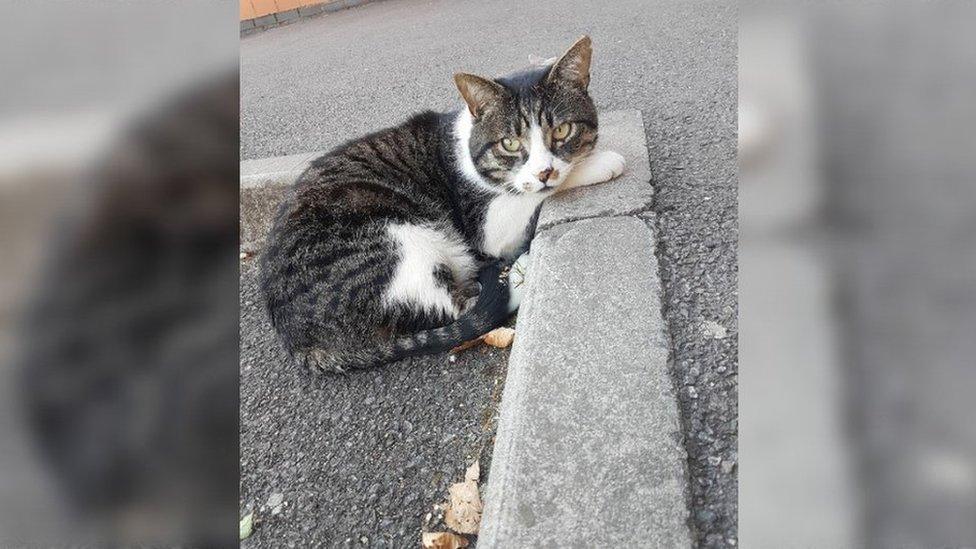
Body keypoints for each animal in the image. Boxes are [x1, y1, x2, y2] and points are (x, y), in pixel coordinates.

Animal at [260, 35, 624, 372]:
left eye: (562, 130)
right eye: (509, 143)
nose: (545, 170)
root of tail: (300, 341)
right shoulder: (489, 225)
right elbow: (534, 192)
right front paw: (601, 163)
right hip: (395, 238)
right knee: (457, 309)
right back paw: (518, 270)